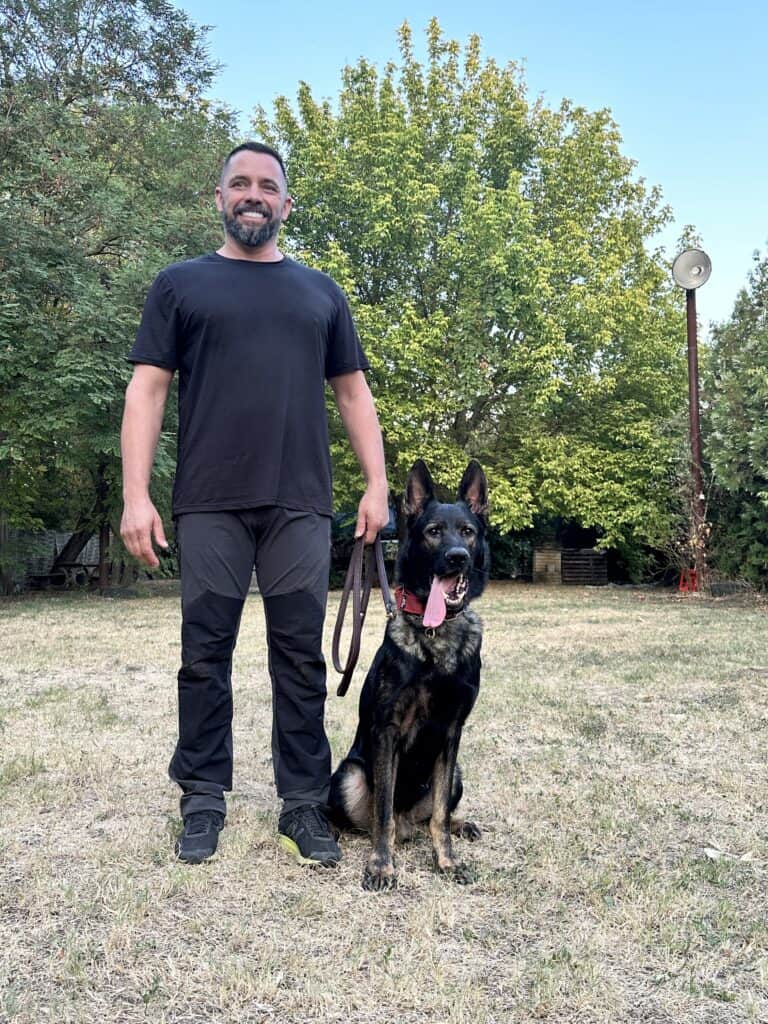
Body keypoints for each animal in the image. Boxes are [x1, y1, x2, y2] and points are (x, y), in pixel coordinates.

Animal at [329, 458, 487, 888]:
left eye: (467, 532)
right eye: (433, 532)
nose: (457, 557)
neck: (436, 635)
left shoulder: (451, 734)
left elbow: (440, 816)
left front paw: (446, 860)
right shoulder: (388, 731)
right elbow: (382, 813)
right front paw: (381, 865)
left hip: (455, 774)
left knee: (429, 817)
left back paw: (462, 825)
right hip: (349, 773)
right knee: (365, 819)